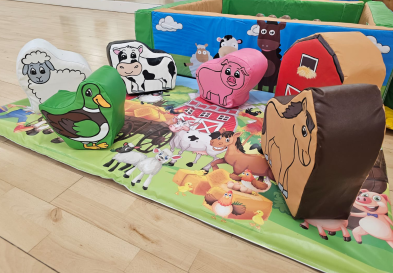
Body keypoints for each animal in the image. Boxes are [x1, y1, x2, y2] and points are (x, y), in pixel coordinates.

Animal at [262, 84, 384, 218]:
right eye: (304, 131)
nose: (308, 160)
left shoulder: (289, 159)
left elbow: (286, 171)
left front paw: (284, 190)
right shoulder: (286, 158)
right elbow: (283, 170)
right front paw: (282, 187)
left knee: (270, 144)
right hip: (270, 135)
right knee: (267, 142)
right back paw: (268, 157)